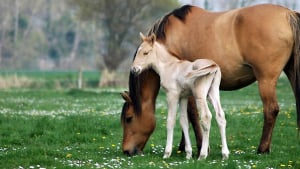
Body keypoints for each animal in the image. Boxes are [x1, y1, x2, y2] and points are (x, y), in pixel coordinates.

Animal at [131, 32, 230, 160]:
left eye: (146, 53)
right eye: (138, 52)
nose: (134, 70)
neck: (169, 66)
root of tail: (213, 65)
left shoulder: (172, 95)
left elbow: (170, 121)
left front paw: (167, 153)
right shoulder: (183, 97)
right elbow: (184, 121)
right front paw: (188, 154)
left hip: (200, 94)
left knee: (206, 117)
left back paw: (203, 155)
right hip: (213, 92)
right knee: (220, 116)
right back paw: (225, 154)